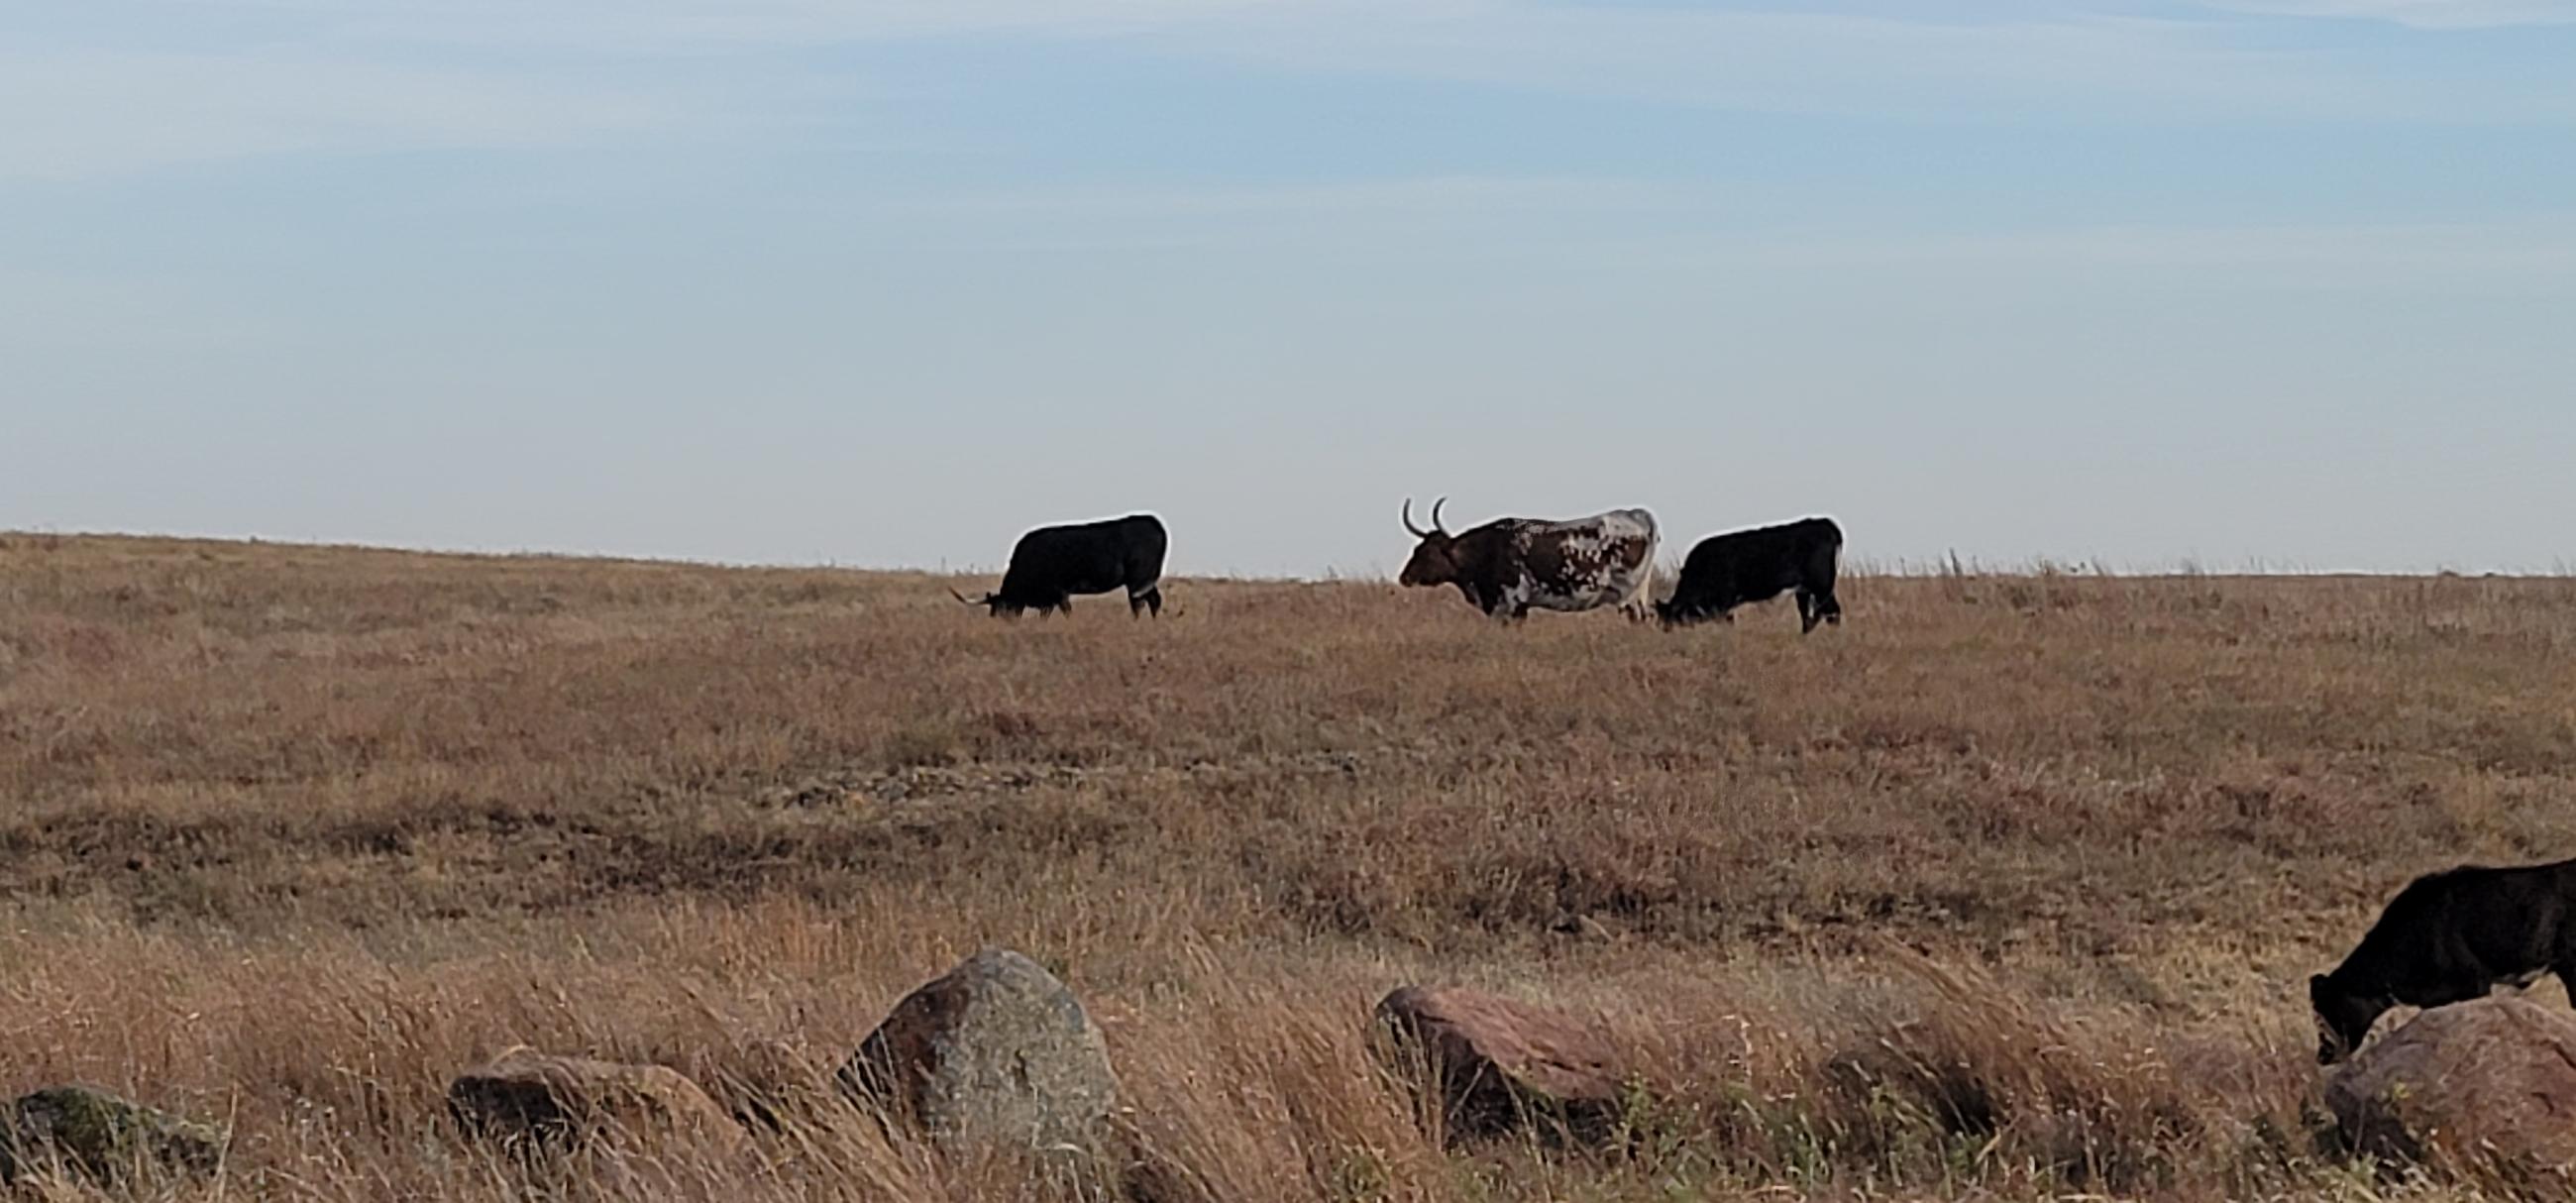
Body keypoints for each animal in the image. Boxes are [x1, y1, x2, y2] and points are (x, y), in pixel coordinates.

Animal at [947, 509, 1169, 615]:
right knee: (1154, 600)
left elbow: (1067, 611)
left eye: (1004, 611)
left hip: (1138, 580)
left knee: (1138, 603)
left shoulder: (1059, 593)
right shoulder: (1049, 600)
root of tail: (1154, 523)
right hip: (1145, 580)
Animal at [1401, 499, 1659, 625]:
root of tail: (1635, 514)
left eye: (1428, 553)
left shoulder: (1511, 603)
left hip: (1630, 595)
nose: (1404, 577)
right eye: (1416, 549)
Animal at [1659, 512, 1844, 636]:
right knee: (1809, 616)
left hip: (1822, 587)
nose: (1665, 632)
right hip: (1805, 591)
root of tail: (1825, 523)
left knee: (1831, 612)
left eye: (1670, 619)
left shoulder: (1724, 601)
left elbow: (1727, 622)